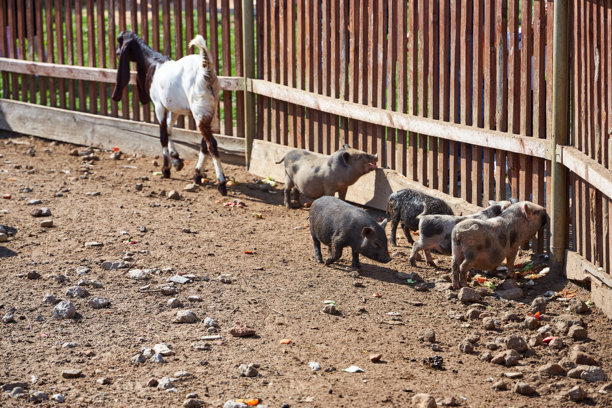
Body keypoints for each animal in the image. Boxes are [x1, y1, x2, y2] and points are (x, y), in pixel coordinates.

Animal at [112, 29, 227, 195]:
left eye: (119, 41)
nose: (116, 52)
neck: (153, 63)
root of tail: (206, 68)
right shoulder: (173, 108)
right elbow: (169, 129)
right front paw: (176, 160)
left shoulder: (159, 106)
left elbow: (163, 135)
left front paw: (166, 169)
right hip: (210, 111)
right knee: (204, 144)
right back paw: (197, 175)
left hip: (200, 110)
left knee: (211, 144)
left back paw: (221, 183)